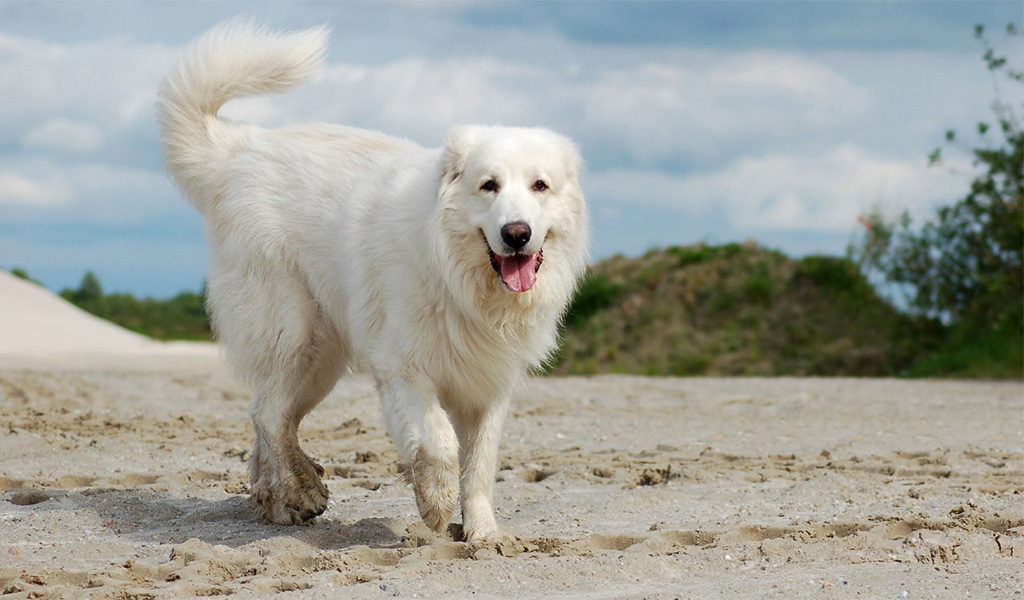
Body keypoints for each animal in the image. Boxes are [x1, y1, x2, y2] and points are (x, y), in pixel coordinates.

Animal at [159, 20, 593, 540]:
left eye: (539, 186)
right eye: (488, 185)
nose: (516, 234)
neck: (459, 281)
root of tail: (237, 149)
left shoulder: (488, 385)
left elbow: (481, 464)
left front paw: (483, 532)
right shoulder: (403, 368)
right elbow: (439, 442)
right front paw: (435, 502)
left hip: (321, 360)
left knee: (272, 417)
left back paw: (277, 500)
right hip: (293, 330)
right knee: (268, 412)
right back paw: (301, 489)